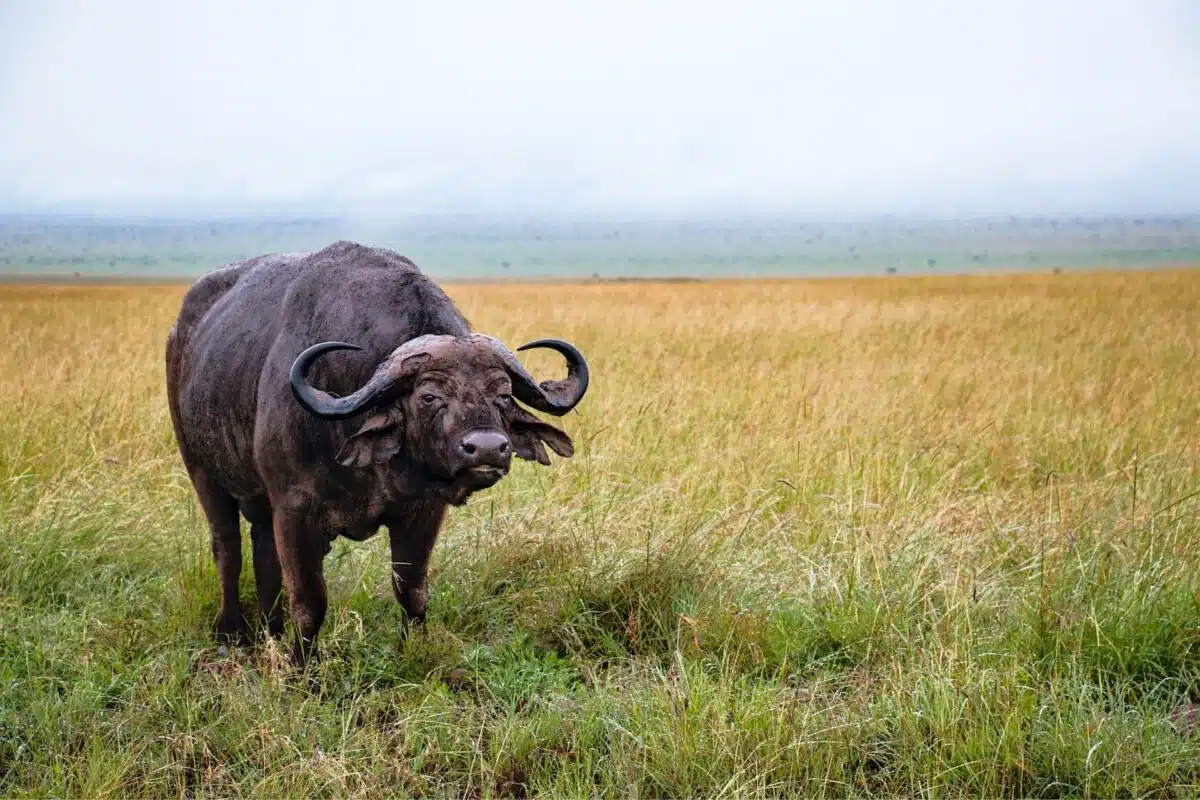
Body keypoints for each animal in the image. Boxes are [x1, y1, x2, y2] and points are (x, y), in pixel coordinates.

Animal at [165, 241, 590, 666]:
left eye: (502, 395)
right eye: (428, 397)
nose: (486, 448)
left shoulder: (423, 512)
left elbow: (412, 591)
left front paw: (412, 651)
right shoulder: (294, 510)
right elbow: (310, 601)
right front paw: (300, 667)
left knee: (262, 551)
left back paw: (270, 630)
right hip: (201, 470)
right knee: (227, 550)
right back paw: (231, 632)